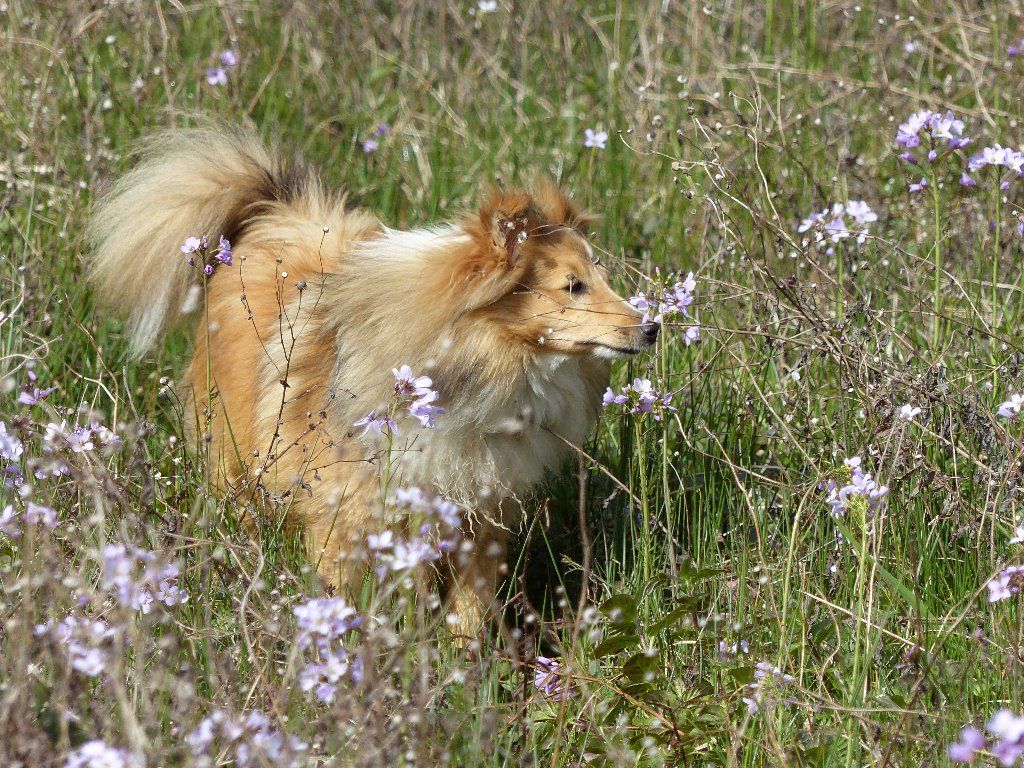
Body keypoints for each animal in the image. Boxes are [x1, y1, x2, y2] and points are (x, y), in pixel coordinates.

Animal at [88, 124, 659, 630]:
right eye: (573, 286)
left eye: (601, 277)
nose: (651, 326)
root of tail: (275, 210)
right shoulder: (350, 518)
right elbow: (342, 591)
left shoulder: (479, 524)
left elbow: (469, 614)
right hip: (237, 454)